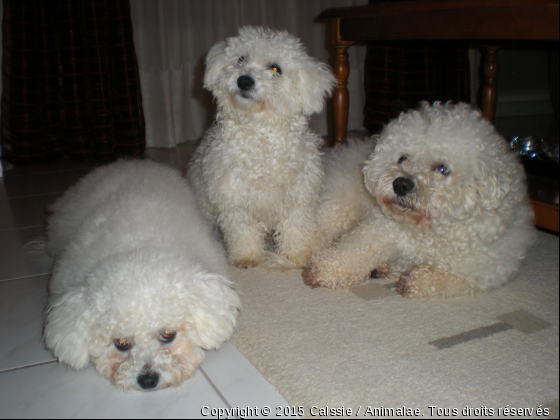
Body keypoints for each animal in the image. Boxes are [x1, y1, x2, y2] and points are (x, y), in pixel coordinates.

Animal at [188, 26, 336, 270]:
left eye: (275, 68)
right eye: (241, 59)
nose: (244, 81)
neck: (260, 135)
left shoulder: (298, 197)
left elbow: (296, 228)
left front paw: (295, 256)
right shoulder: (234, 199)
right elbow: (243, 232)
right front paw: (246, 257)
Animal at [304, 102, 536, 298]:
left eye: (442, 169)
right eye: (403, 158)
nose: (400, 184)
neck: (427, 230)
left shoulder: (486, 269)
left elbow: (452, 278)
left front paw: (415, 281)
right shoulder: (380, 230)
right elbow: (354, 250)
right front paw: (324, 270)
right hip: (340, 205)